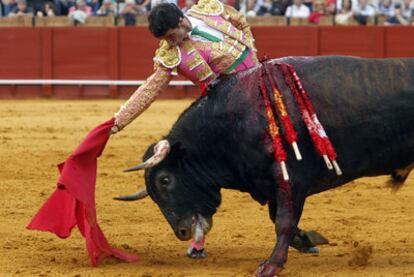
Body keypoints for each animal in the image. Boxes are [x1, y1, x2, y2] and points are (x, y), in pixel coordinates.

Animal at [115, 56, 412, 276]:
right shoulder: (272, 184)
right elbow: (280, 219)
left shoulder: (290, 178)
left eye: (165, 180)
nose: (182, 232)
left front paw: (271, 266)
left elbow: (283, 221)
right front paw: (310, 240)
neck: (233, 120)